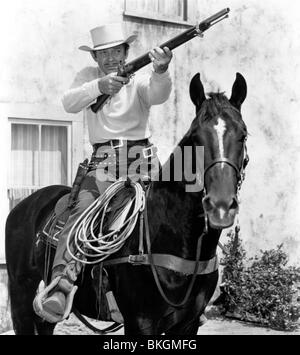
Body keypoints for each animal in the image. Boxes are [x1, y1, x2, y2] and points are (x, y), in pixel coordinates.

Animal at [5, 73, 248, 336]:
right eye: (195, 138)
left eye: (243, 134)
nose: (220, 206)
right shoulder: (140, 323)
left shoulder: (188, 324)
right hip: (21, 295)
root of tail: (24, 205)